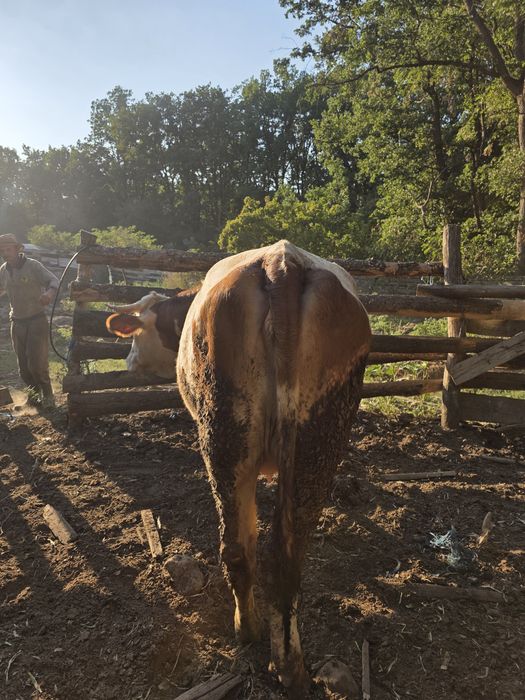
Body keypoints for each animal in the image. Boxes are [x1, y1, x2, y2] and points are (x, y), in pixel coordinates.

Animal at [107, 241, 371, 697]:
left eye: (137, 332)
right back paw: (289, 666)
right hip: (314, 441)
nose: (127, 361)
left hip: (223, 435)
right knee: (281, 555)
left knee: (238, 545)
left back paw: (247, 630)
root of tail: (281, 262)